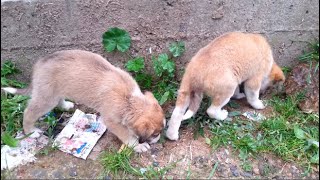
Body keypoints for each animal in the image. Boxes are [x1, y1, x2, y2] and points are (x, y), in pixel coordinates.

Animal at [2, 50, 166, 153]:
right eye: (155, 133)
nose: (158, 139)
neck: (130, 100)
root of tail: (38, 66)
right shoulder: (111, 121)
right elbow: (126, 134)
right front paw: (137, 146)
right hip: (46, 99)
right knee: (28, 112)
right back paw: (31, 132)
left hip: (56, 92)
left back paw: (66, 106)